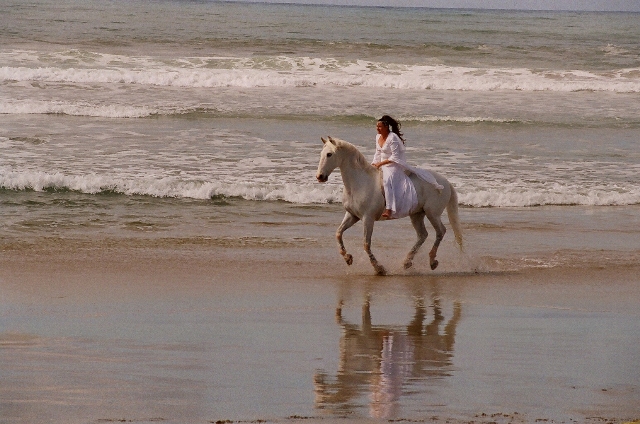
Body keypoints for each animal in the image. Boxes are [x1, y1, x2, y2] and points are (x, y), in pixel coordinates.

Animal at [314, 136, 460, 274]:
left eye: (329, 154)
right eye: (321, 153)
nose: (320, 177)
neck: (359, 183)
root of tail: (446, 182)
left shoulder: (368, 218)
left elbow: (366, 244)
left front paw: (379, 269)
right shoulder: (352, 216)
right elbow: (338, 233)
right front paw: (348, 258)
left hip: (432, 213)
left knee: (440, 231)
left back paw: (432, 261)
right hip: (417, 215)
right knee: (423, 235)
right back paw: (407, 262)